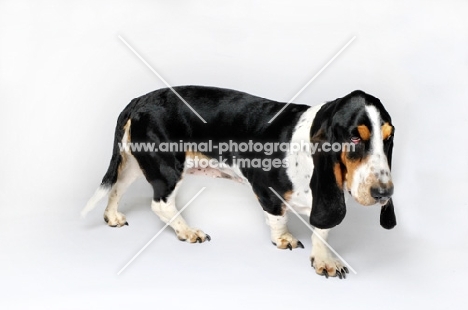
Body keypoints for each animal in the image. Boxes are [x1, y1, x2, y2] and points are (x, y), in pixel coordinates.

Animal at [83, 86, 394, 280]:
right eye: (354, 137)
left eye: (388, 137)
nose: (384, 193)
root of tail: (141, 99)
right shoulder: (265, 189)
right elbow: (278, 218)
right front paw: (284, 239)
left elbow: (322, 230)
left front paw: (325, 259)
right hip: (167, 167)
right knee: (160, 204)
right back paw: (188, 232)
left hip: (134, 163)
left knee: (116, 187)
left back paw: (112, 217)